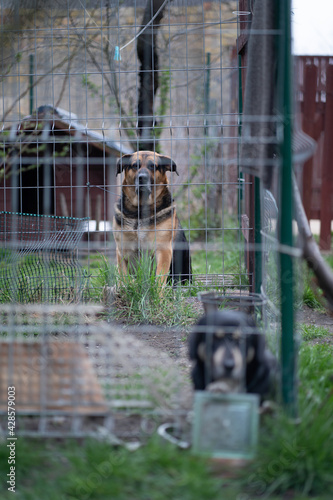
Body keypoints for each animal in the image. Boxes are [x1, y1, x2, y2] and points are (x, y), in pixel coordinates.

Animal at [113, 150, 192, 286]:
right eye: (135, 165)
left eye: (153, 166)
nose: (142, 178)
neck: (140, 212)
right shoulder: (122, 250)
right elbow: (124, 277)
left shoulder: (163, 250)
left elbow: (159, 278)